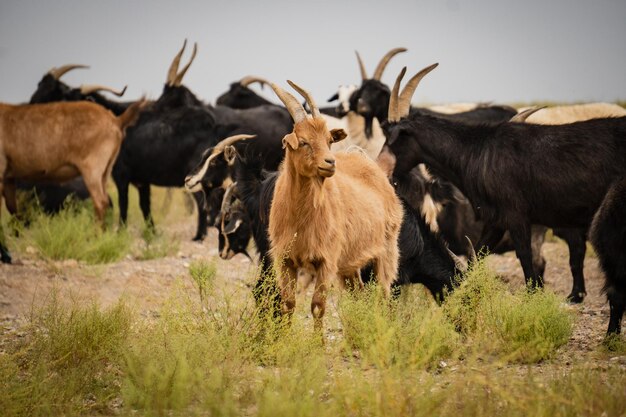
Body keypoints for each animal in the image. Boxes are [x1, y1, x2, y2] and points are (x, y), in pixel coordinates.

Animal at [0, 98, 144, 260]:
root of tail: (116, 120)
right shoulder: (9, 178)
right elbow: (12, 208)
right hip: (105, 172)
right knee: (106, 201)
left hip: (92, 169)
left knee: (100, 202)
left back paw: (95, 240)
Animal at [266, 80, 402, 328]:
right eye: (303, 142)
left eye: (329, 141)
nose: (330, 162)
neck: (301, 216)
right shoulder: (285, 259)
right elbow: (288, 305)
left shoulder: (326, 260)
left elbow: (318, 306)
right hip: (350, 263)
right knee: (359, 295)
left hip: (386, 251)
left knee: (383, 295)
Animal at [382, 65, 624, 334]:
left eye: (394, 138)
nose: (381, 169)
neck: (477, 152)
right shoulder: (496, 220)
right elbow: (477, 257)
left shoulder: (516, 217)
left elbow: (526, 262)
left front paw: (532, 303)